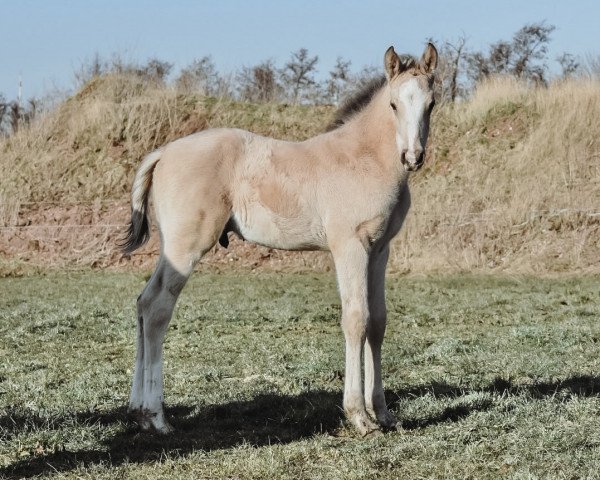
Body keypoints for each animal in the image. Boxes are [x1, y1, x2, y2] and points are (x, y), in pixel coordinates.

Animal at [123, 43, 436, 436]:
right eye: (394, 104)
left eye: (431, 103)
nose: (413, 157)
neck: (364, 158)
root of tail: (163, 152)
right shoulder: (349, 246)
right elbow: (356, 319)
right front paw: (358, 416)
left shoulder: (379, 250)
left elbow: (377, 322)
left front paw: (382, 413)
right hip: (185, 247)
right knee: (157, 310)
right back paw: (157, 417)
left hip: (170, 250)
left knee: (143, 302)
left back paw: (137, 412)